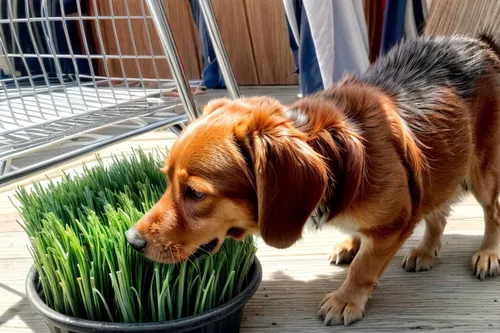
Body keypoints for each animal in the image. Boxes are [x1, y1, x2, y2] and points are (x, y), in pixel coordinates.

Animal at [126, 34, 500, 324]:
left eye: (195, 192)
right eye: (166, 180)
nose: (131, 241)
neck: (334, 153)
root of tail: (481, 43)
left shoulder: (395, 222)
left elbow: (365, 266)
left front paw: (346, 299)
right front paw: (352, 243)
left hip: (481, 172)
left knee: (491, 212)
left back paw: (488, 253)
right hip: (442, 161)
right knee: (437, 209)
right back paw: (425, 249)